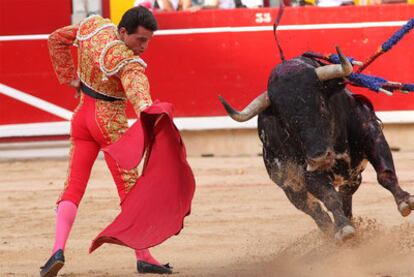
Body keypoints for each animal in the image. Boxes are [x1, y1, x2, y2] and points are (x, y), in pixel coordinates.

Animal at [218, 48, 412, 239]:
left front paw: (405, 201)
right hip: (291, 188)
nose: (319, 158)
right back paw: (332, 232)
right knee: (315, 209)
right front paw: (343, 228)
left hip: (352, 175)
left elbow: (385, 174)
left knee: (345, 194)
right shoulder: (306, 173)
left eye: (322, 106)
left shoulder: (371, 134)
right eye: (286, 122)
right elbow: (329, 198)